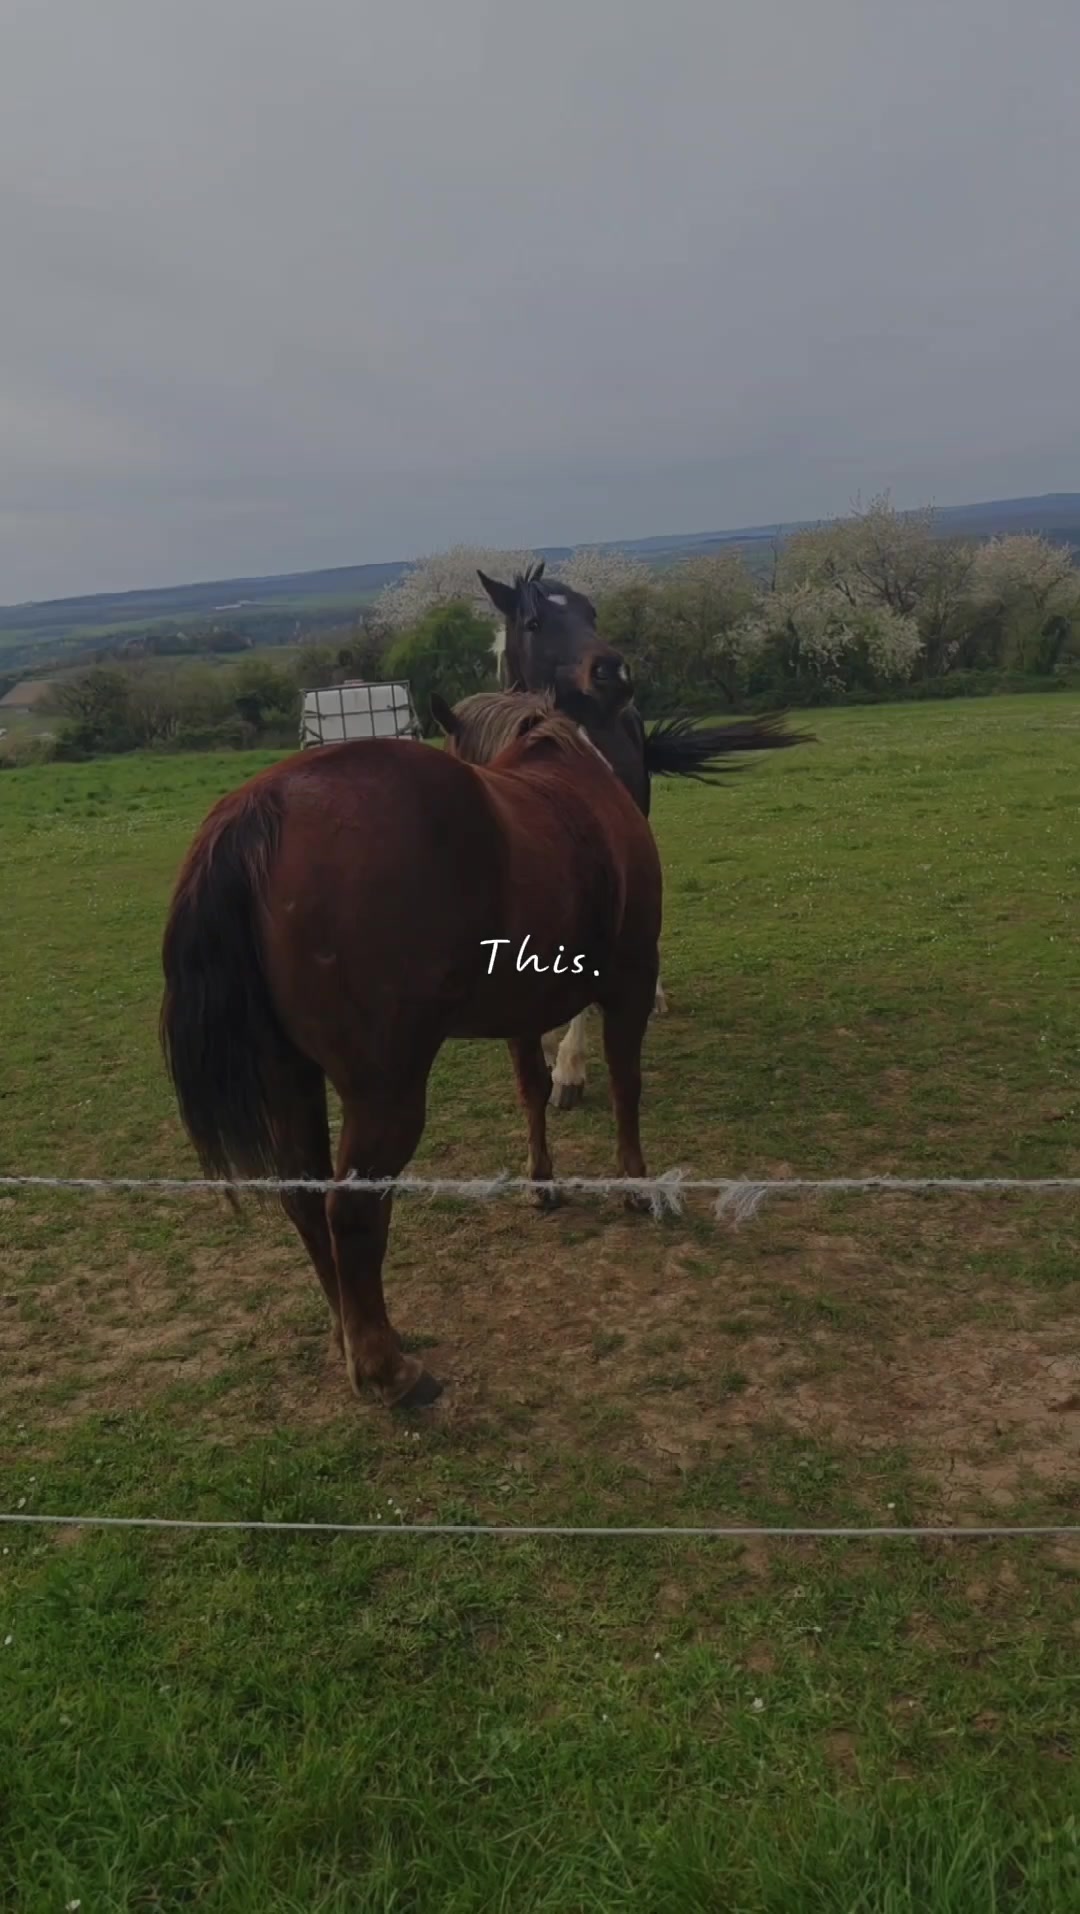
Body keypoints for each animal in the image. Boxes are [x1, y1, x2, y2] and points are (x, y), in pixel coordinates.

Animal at [160, 700, 662, 1413]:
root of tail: (261, 809)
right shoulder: (631, 981)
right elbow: (625, 1084)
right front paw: (635, 1184)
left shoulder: (523, 1007)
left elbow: (532, 1089)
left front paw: (543, 1180)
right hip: (385, 1092)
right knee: (351, 1210)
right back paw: (386, 1367)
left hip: (290, 1080)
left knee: (305, 1199)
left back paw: (348, 1338)